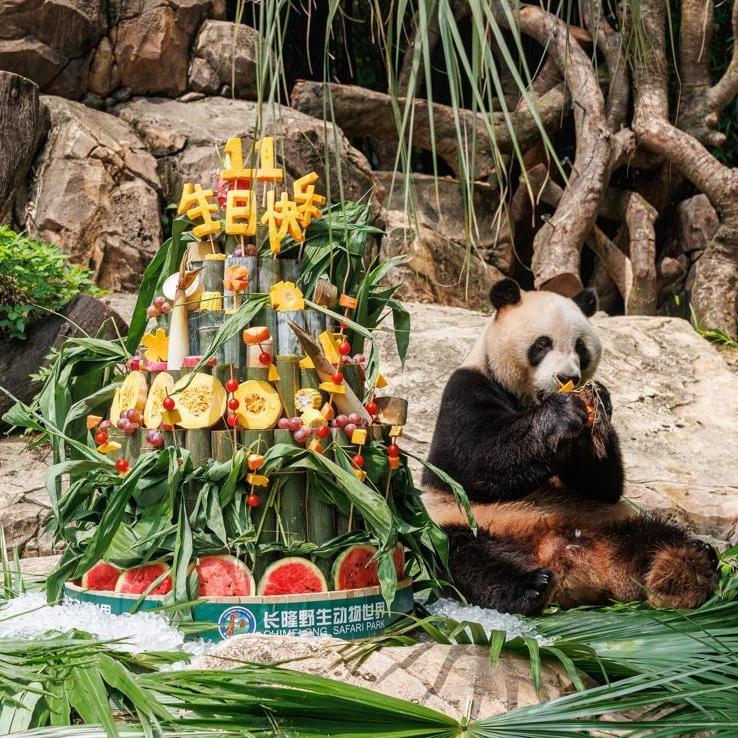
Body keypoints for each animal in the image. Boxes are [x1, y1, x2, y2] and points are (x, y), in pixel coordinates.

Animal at [421, 279, 719, 614]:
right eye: (542, 344)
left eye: (580, 348)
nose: (569, 377)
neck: (529, 401)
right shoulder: (466, 388)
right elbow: (471, 461)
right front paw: (561, 412)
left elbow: (601, 486)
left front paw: (598, 402)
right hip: (458, 521)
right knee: (459, 554)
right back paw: (530, 586)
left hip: (609, 520)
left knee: (657, 535)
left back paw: (686, 568)